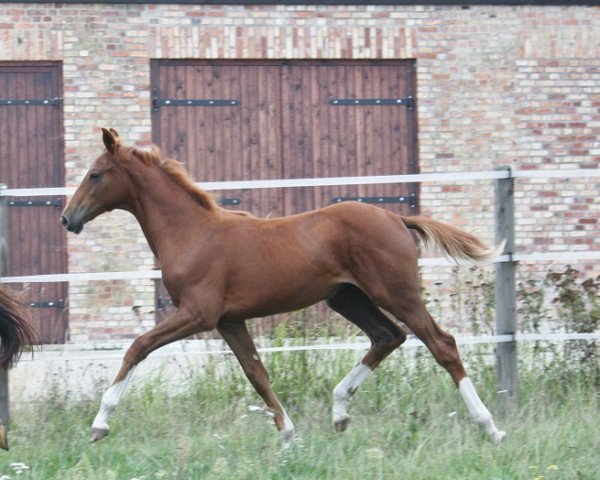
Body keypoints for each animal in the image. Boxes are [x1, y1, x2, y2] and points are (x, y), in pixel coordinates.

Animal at [61, 128, 504, 446]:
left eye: (95, 174)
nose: (68, 218)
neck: (191, 233)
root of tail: (396, 218)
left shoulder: (198, 314)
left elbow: (138, 347)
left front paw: (99, 424)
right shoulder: (228, 321)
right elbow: (257, 372)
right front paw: (288, 435)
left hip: (396, 293)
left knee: (440, 343)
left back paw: (490, 426)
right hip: (348, 298)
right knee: (388, 336)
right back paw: (339, 411)